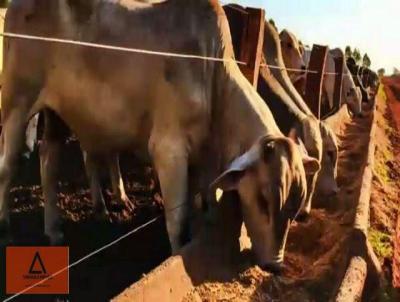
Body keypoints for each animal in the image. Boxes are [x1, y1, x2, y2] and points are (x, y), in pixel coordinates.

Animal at [0, 0, 318, 268]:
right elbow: (178, 223)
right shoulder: (169, 151)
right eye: (264, 199)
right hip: (17, 103)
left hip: (57, 113)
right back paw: (6, 226)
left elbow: (204, 207)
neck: (212, 77)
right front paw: (177, 255)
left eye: (295, 205)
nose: (275, 265)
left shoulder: (201, 162)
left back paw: (58, 228)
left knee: (49, 159)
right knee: (9, 165)